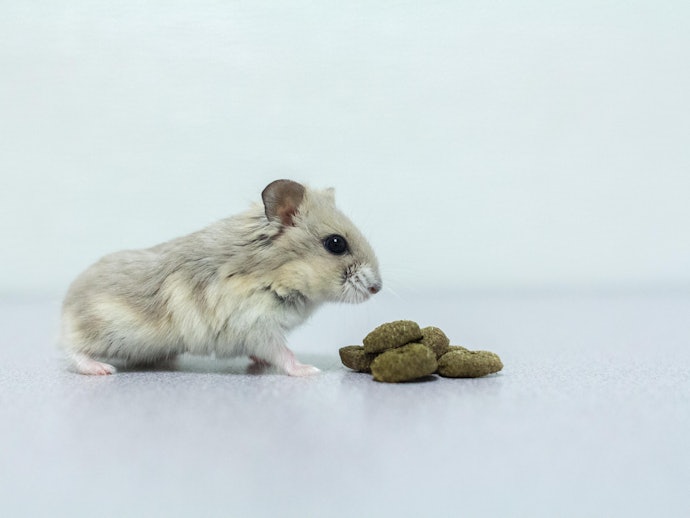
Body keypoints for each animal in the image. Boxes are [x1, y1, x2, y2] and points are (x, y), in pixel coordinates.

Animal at [60, 179, 382, 376]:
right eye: (336, 243)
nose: (377, 288)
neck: (275, 275)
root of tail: (66, 309)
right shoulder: (257, 327)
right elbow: (283, 354)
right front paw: (310, 370)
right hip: (101, 331)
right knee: (71, 350)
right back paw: (102, 369)